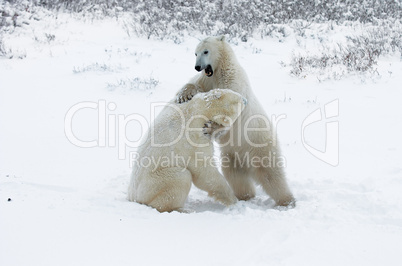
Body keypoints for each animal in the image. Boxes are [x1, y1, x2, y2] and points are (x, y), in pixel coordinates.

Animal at [176, 35, 296, 206]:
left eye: (206, 51)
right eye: (195, 53)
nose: (197, 66)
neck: (220, 70)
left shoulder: (233, 82)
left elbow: (233, 110)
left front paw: (210, 128)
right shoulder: (208, 80)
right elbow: (197, 84)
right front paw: (183, 95)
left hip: (259, 143)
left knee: (271, 174)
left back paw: (287, 201)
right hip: (233, 155)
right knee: (235, 176)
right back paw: (245, 195)